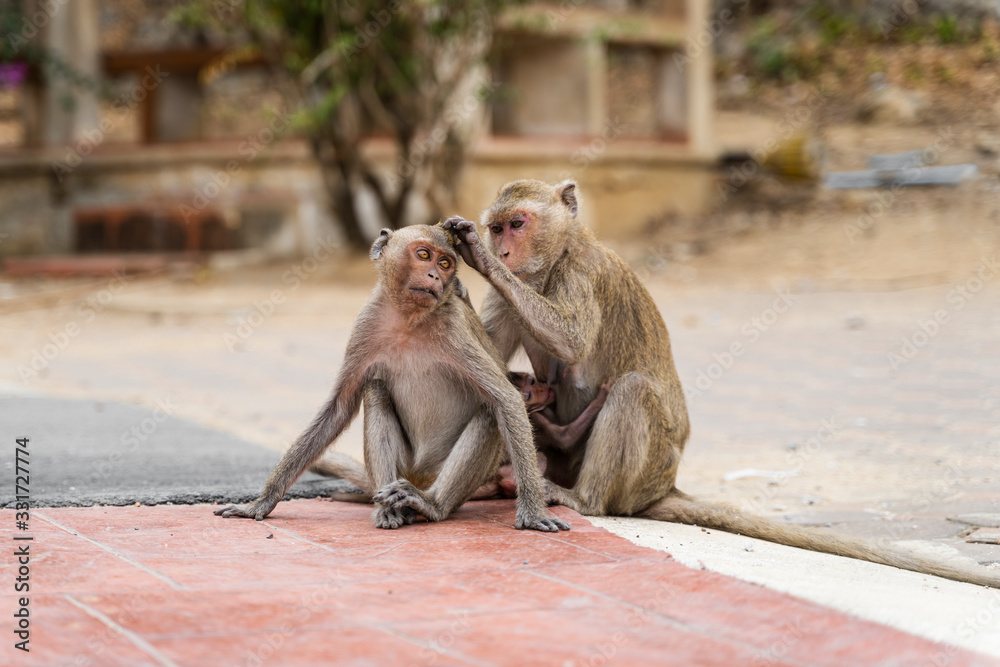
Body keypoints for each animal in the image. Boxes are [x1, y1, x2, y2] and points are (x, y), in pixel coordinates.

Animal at [214, 224, 569, 533]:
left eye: (445, 263)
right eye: (424, 255)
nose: (435, 276)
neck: (408, 320)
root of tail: (421, 478)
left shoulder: (455, 329)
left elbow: (505, 399)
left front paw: (533, 513)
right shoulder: (366, 325)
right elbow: (338, 409)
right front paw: (262, 502)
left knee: (488, 412)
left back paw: (430, 505)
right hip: (405, 465)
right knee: (375, 389)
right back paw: (390, 509)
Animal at [441, 179, 999, 587]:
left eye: (517, 224)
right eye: (497, 227)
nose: (503, 252)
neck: (555, 259)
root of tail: (661, 487)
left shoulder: (583, 274)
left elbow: (573, 343)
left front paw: (478, 259)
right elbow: (487, 358)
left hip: (645, 471)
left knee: (634, 391)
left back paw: (584, 500)